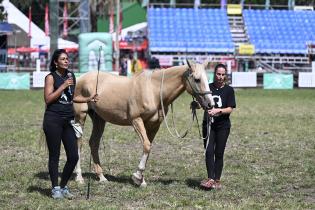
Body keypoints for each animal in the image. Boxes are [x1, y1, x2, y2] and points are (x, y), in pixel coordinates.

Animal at [73, 61, 214, 186]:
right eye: (197, 79)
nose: (210, 104)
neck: (153, 90)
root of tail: (81, 78)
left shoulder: (154, 125)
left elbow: (148, 147)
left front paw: (141, 180)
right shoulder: (137, 120)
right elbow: (146, 145)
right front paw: (137, 177)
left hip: (99, 119)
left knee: (94, 143)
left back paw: (101, 177)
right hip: (81, 116)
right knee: (79, 142)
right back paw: (79, 177)